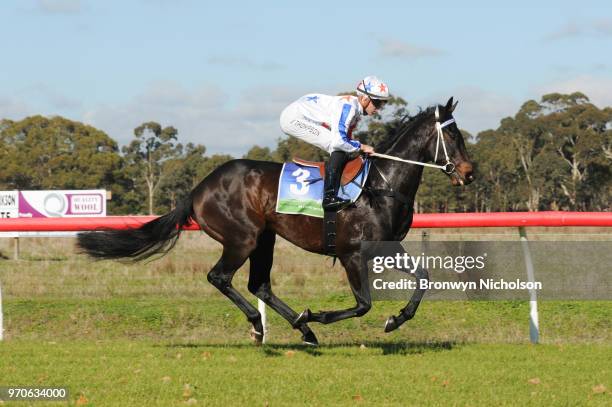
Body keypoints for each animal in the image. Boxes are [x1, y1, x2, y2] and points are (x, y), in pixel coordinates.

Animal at [76, 97, 476, 346]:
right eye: (452, 134)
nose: (469, 173)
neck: (381, 184)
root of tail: (199, 188)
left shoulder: (386, 248)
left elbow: (423, 276)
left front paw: (396, 319)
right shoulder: (352, 254)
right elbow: (363, 304)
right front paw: (317, 315)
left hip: (265, 238)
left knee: (260, 285)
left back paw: (302, 329)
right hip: (243, 238)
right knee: (220, 277)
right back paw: (262, 325)